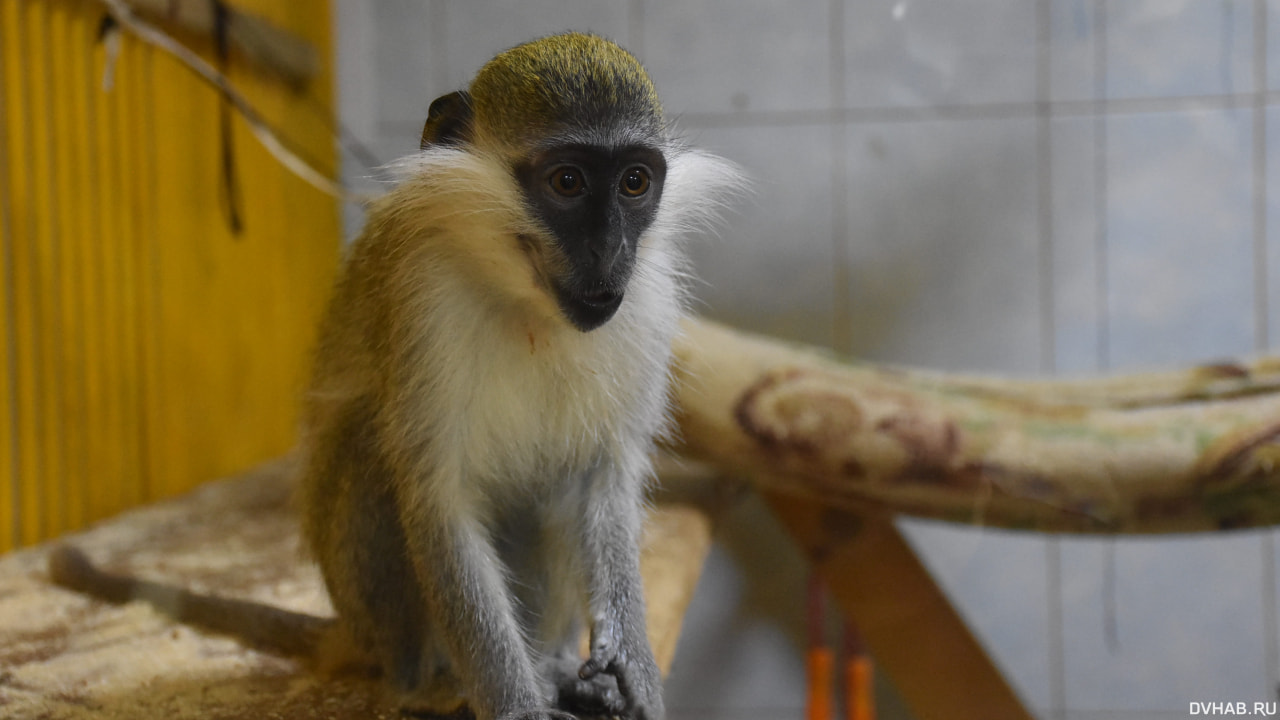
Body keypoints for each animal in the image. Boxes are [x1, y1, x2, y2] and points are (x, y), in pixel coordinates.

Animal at [52, 32, 742, 717]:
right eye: (567, 181)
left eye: (634, 183)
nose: (610, 251)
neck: (526, 300)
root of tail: (358, 637)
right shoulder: (421, 297)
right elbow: (436, 498)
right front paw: (516, 704)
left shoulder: (645, 300)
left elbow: (605, 477)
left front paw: (633, 667)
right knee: (369, 440)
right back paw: (430, 685)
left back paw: (551, 665)